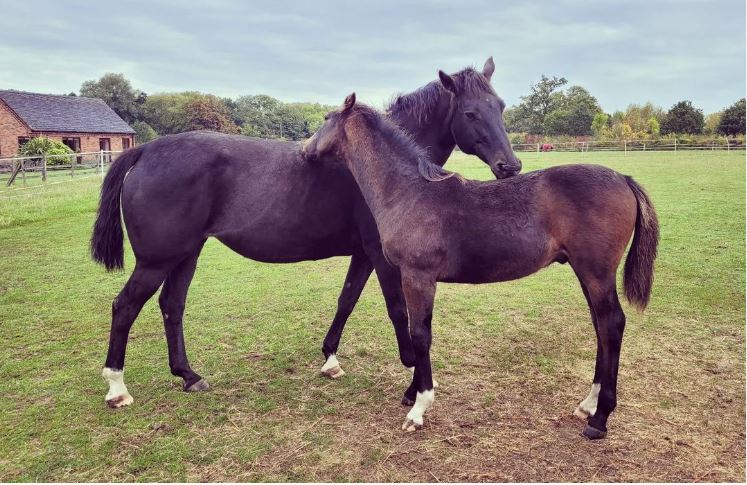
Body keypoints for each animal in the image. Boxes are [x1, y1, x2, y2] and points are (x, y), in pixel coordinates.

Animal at [300, 94, 656, 438]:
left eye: (325, 119)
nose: (304, 151)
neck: (408, 192)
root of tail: (623, 179)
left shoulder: (419, 277)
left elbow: (420, 335)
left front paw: (419, 407)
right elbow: (416, 331)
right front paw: (413, 392)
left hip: (596, 272)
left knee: (612, 325)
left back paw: (600, 418)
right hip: (586, 273)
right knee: (600, 326)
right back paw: (588, 404)